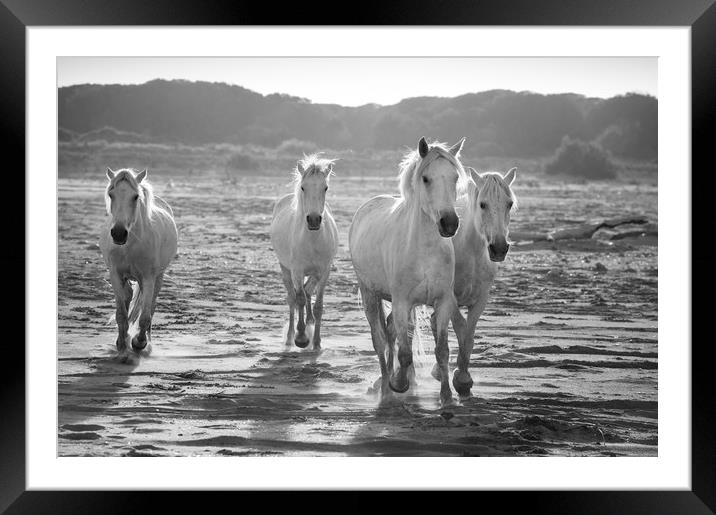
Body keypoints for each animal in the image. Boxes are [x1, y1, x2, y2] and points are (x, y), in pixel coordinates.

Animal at [98, 167, 178, 356]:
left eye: (135, 196)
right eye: (111, 194)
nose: (119, 233)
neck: (130, 245)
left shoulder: (148, 278)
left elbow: (145, 316)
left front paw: (139, 342)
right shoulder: (115, 275)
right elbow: (121, 313)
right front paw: (121, 343)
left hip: (158, 277)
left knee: (151, 306)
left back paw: (147, 339)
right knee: (127, 297)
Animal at [270, 156, 340, 350]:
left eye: (325, 187)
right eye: (303, 187)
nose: (314, 220)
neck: (312, 239)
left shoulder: (324, 271)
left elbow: (318, 306)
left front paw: (316, 342)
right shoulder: (297, 271)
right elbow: (299, 299)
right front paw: (301, 338)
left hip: (314, 273)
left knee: (308, 291)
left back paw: (309, 322)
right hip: (285, 269)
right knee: (292, 298)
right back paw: (289, 337)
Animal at [350, 137, 468, 408]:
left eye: (455, 177)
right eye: (426, 178)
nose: (449, 223)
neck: (424, 249)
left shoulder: (442, 301)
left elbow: (442, 350)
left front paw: (447, 398)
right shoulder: (402, 301)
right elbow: (404, 353)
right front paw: (399, 383)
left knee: (390, 332)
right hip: (370, 293)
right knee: (380, 340)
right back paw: (385, 389)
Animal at [444, 167, 516, 398]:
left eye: (509, 204)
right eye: (482, 204)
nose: (499, 248)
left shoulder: (481, 299)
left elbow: (469, 335)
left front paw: (464, 378)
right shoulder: (449, 298)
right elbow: (461, 329)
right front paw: (460, 379)